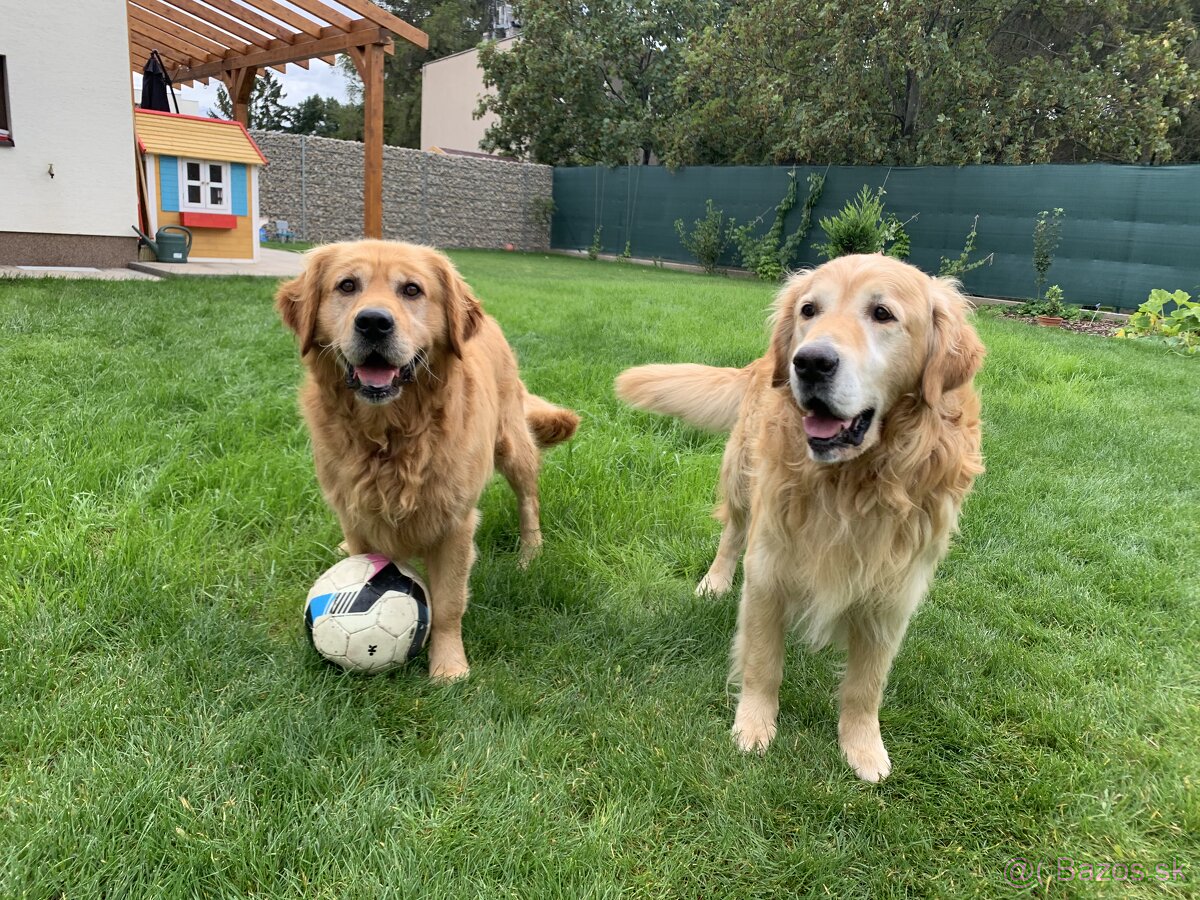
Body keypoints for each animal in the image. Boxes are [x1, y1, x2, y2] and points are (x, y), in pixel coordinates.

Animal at [280, 243, 580, 681]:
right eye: (347, 285)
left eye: (411, 289)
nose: (373, 322)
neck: (390, 436)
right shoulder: (357, 515)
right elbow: (367, 558)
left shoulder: (454, 522)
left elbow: (448, 604)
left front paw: (449, 667)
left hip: (512, 446)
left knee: (529, 502)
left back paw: (530, 553)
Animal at [619, 252, 984, 782]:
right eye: (809, 310)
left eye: (882, 314)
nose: (809, 362)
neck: (853, 482)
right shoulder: (769, 567)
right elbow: (762, 661)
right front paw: (753, 726)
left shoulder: (893, 592)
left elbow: (866, 685)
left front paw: (863, 747)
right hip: (741, 480)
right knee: (731, 533)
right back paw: (714, 582)